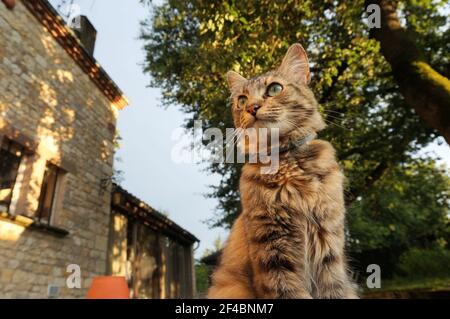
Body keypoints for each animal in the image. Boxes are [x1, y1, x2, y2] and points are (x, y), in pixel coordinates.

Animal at [207, 43, 358, 298]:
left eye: (275, 88)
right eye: (241, 100)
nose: (252, 108)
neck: (288, 165)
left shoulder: (329, 247)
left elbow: (334, 289)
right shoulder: (273, 253)